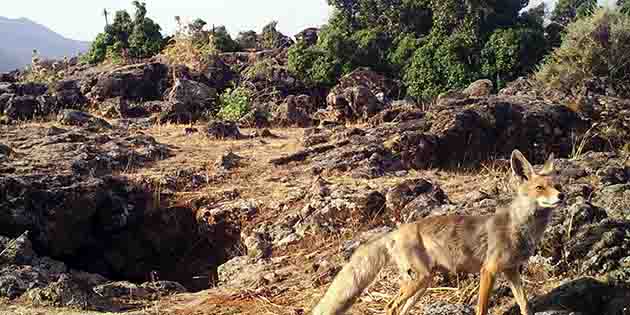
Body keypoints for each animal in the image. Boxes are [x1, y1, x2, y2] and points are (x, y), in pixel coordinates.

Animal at [314, 150, 564, 315]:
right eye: (540, 188)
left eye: (557, 186)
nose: (562, 196)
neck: (520, 227)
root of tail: (395, 231)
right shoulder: (489, 270)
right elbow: (481, 309)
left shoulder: (511, 270)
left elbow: (525, 305)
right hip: (418, 280)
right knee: (390, 306)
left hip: (423, 283)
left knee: (400, 309)